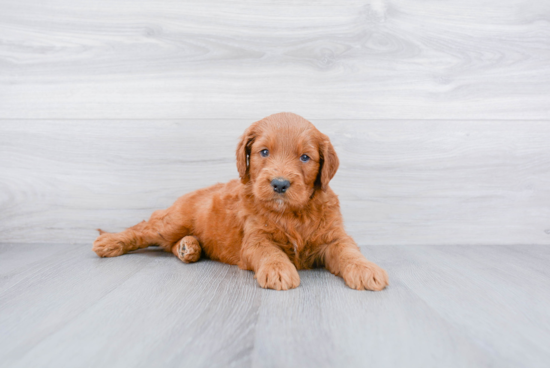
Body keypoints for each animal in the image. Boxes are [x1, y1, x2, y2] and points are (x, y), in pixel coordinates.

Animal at [92, 112, 388, 290]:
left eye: (305, 157)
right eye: (264, 152)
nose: (280, 184)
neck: (292, 214)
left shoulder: (334, 236)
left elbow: (349, 251)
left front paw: (367, 269)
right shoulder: (254, 239)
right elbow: (270, 252)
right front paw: (279, 270)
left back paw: (189, 248)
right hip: (172, 221)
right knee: (144, 227)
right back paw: (108, 242)